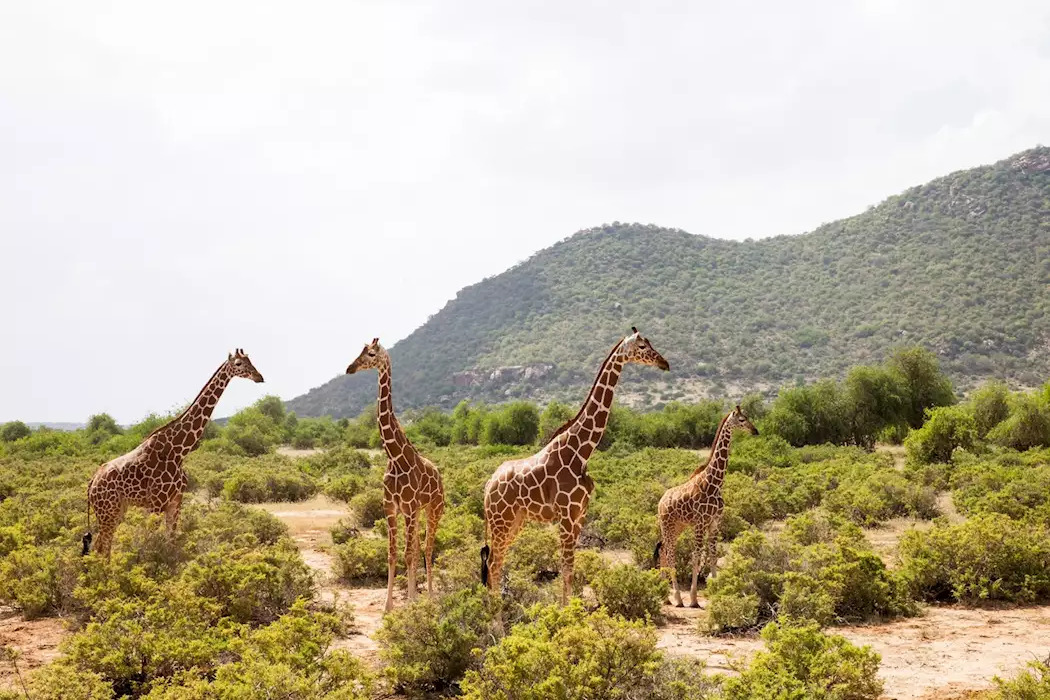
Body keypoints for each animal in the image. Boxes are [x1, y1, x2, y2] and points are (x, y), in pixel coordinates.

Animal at [84, 349, 264, 557]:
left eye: (250, 360)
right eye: (239, 364)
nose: (259, 377)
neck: (179, 451)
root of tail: (91, 484)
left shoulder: (176, 502)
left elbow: (171, 542)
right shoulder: (156, 503)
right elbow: (149, 544)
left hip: (117, 510)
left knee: (101, 546)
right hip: (107, 511)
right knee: (101, 547)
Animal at [346, 338, 445, 612]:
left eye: (371, 354)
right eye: (358, 352)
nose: (349, 368)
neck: (394, 457)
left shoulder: (408, 508)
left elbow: (409, 554)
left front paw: (410, 602)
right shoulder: (391, 508)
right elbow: (392, 554)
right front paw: (388, 605)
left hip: (434, 509)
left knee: (427, 547)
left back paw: (429, 594)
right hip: (418, 512)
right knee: (419, 547)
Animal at [481, 328, 669, 604]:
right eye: (643, 346)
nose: (664, 363)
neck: (581, 451)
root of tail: (488, 485)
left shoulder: (580, 516)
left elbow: (571, 567)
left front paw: (572, 608)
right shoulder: (567, 516)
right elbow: (566, 568)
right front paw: (565, 610)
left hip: (515, 521)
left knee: (496, 561)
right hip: (500, 520)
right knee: (493, 563)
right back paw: (494, 612)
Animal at [654, 405, 758, 607]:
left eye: (748, 417)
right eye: (742, 420)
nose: (755, 431)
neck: (714, 483)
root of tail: (661, 501)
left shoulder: (715, 522)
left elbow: (713, 555)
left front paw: (716, 592)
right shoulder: (700, 523)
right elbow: (696, 555)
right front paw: (694, 599)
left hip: (678, 526)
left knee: (663, 550)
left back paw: (665, 596)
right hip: (667, 525)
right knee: (670, 553)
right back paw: (677, 598)